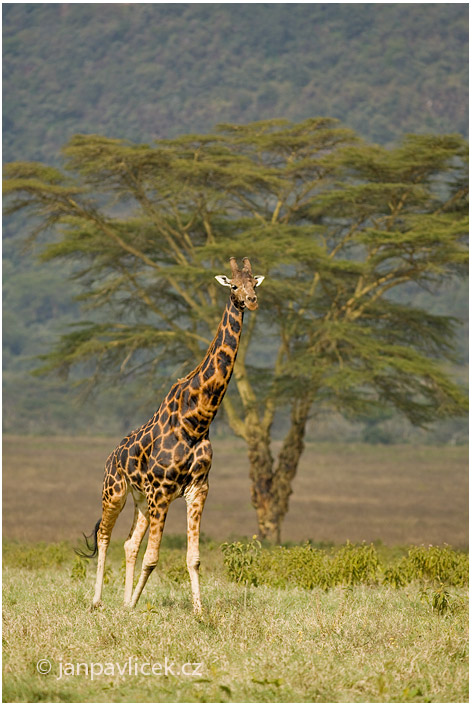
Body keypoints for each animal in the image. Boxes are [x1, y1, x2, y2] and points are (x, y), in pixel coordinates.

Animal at [76, 254, 262, 612]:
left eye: (254, 283)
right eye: (233, 285)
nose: (251, 301)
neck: (197, 420)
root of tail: (111, 455)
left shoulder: (197, 489)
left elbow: (193, 558)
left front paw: (199, 612)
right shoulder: (162, 491)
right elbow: (153, 557)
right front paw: (135, 605)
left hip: (141, 500)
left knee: (129, 543)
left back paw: (122, 601)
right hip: (115, 491)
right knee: (105, 536)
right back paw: (97, 601)